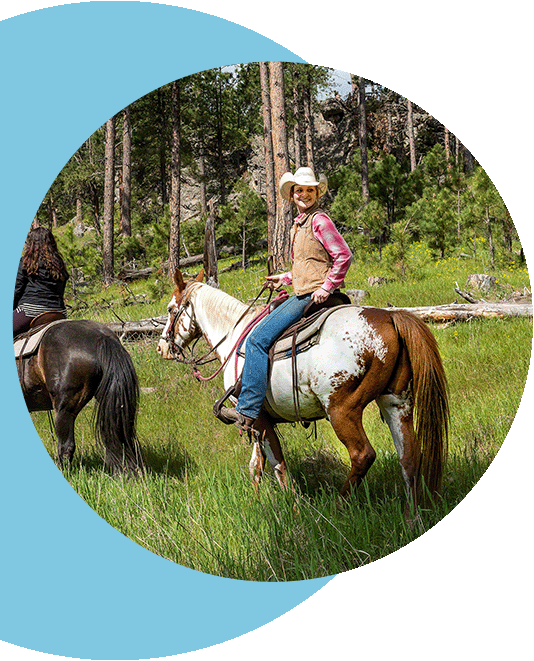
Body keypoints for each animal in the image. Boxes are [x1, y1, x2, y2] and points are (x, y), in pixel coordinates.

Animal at [157, 270, 450, 512]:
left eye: (171, 309)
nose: (162, 348)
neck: (234, 334)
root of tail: (390, 317)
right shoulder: (257, 421)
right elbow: (256, 466)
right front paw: (256, 499)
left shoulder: (257, 418)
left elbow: (277, 464)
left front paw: (294, 507)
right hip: (396, 403)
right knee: (408, 456)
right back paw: (412, 517)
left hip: (342, 410)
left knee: (362, 455)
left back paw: (337, 507)